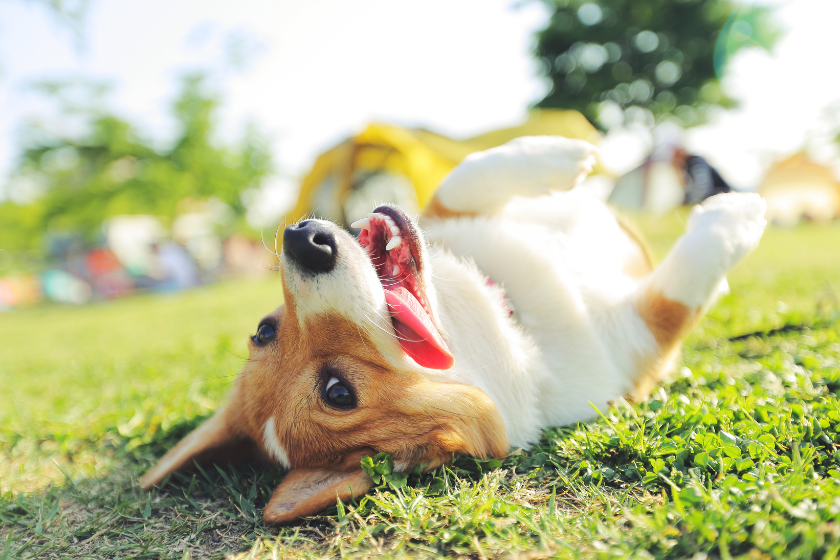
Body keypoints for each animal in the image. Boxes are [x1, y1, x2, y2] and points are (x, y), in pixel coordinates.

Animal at [139, 137, 768, 524]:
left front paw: (559, 155)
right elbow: (680, 290)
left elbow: (464, 178)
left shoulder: (447, 214)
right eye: (338, 392)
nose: (302, 240)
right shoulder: (636, 341)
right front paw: (735, 214)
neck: (510, 312)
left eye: (263, 329)